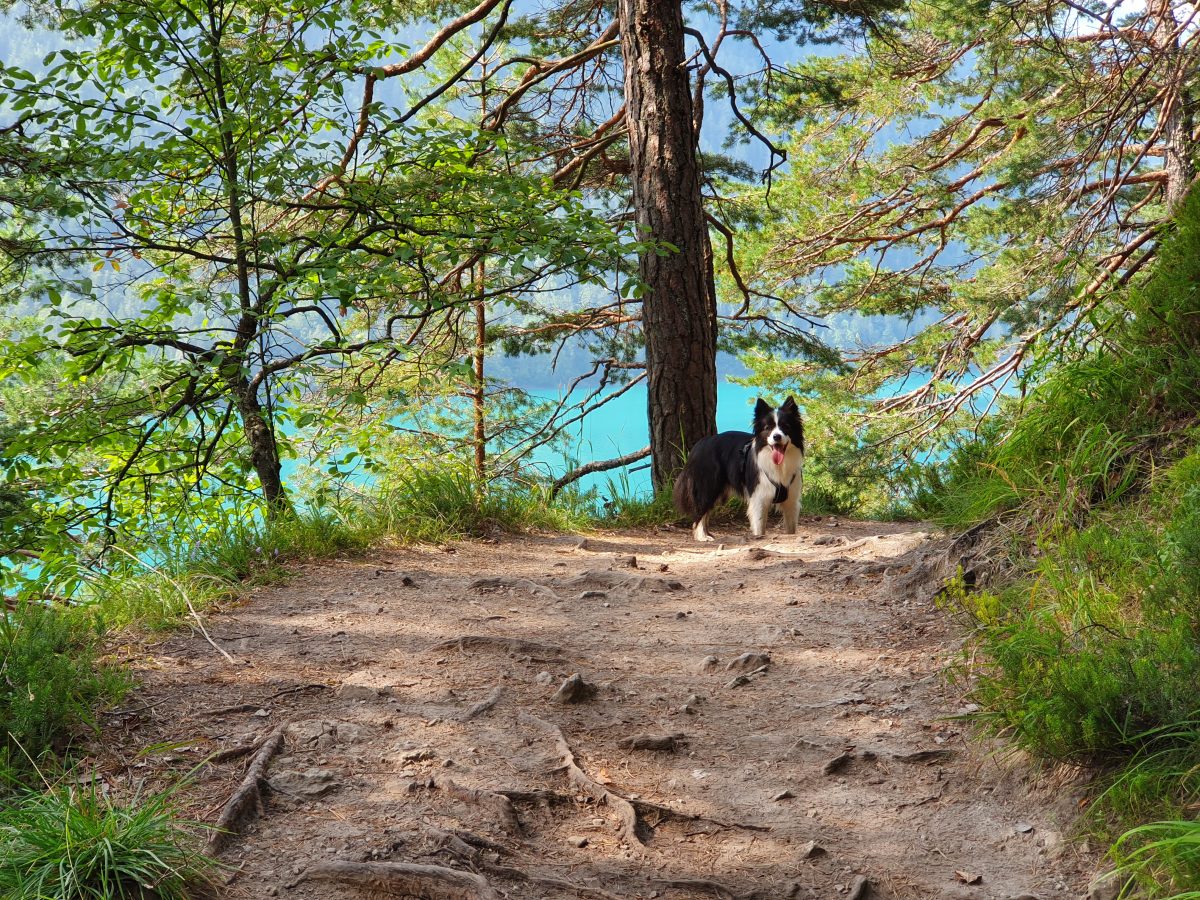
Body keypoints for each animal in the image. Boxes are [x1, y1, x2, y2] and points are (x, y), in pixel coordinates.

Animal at [672, 400, 801, 542]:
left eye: (786, 426)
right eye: (768, 428)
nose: (777, 436)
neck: (779, 465)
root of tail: (700, 445)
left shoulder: (791, 499)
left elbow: (791, 528)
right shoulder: (759, 497)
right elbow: (759, 527)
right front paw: (759, 537)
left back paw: (707, 534)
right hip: (708, 486)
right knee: (700, 511)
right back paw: (702, 537)